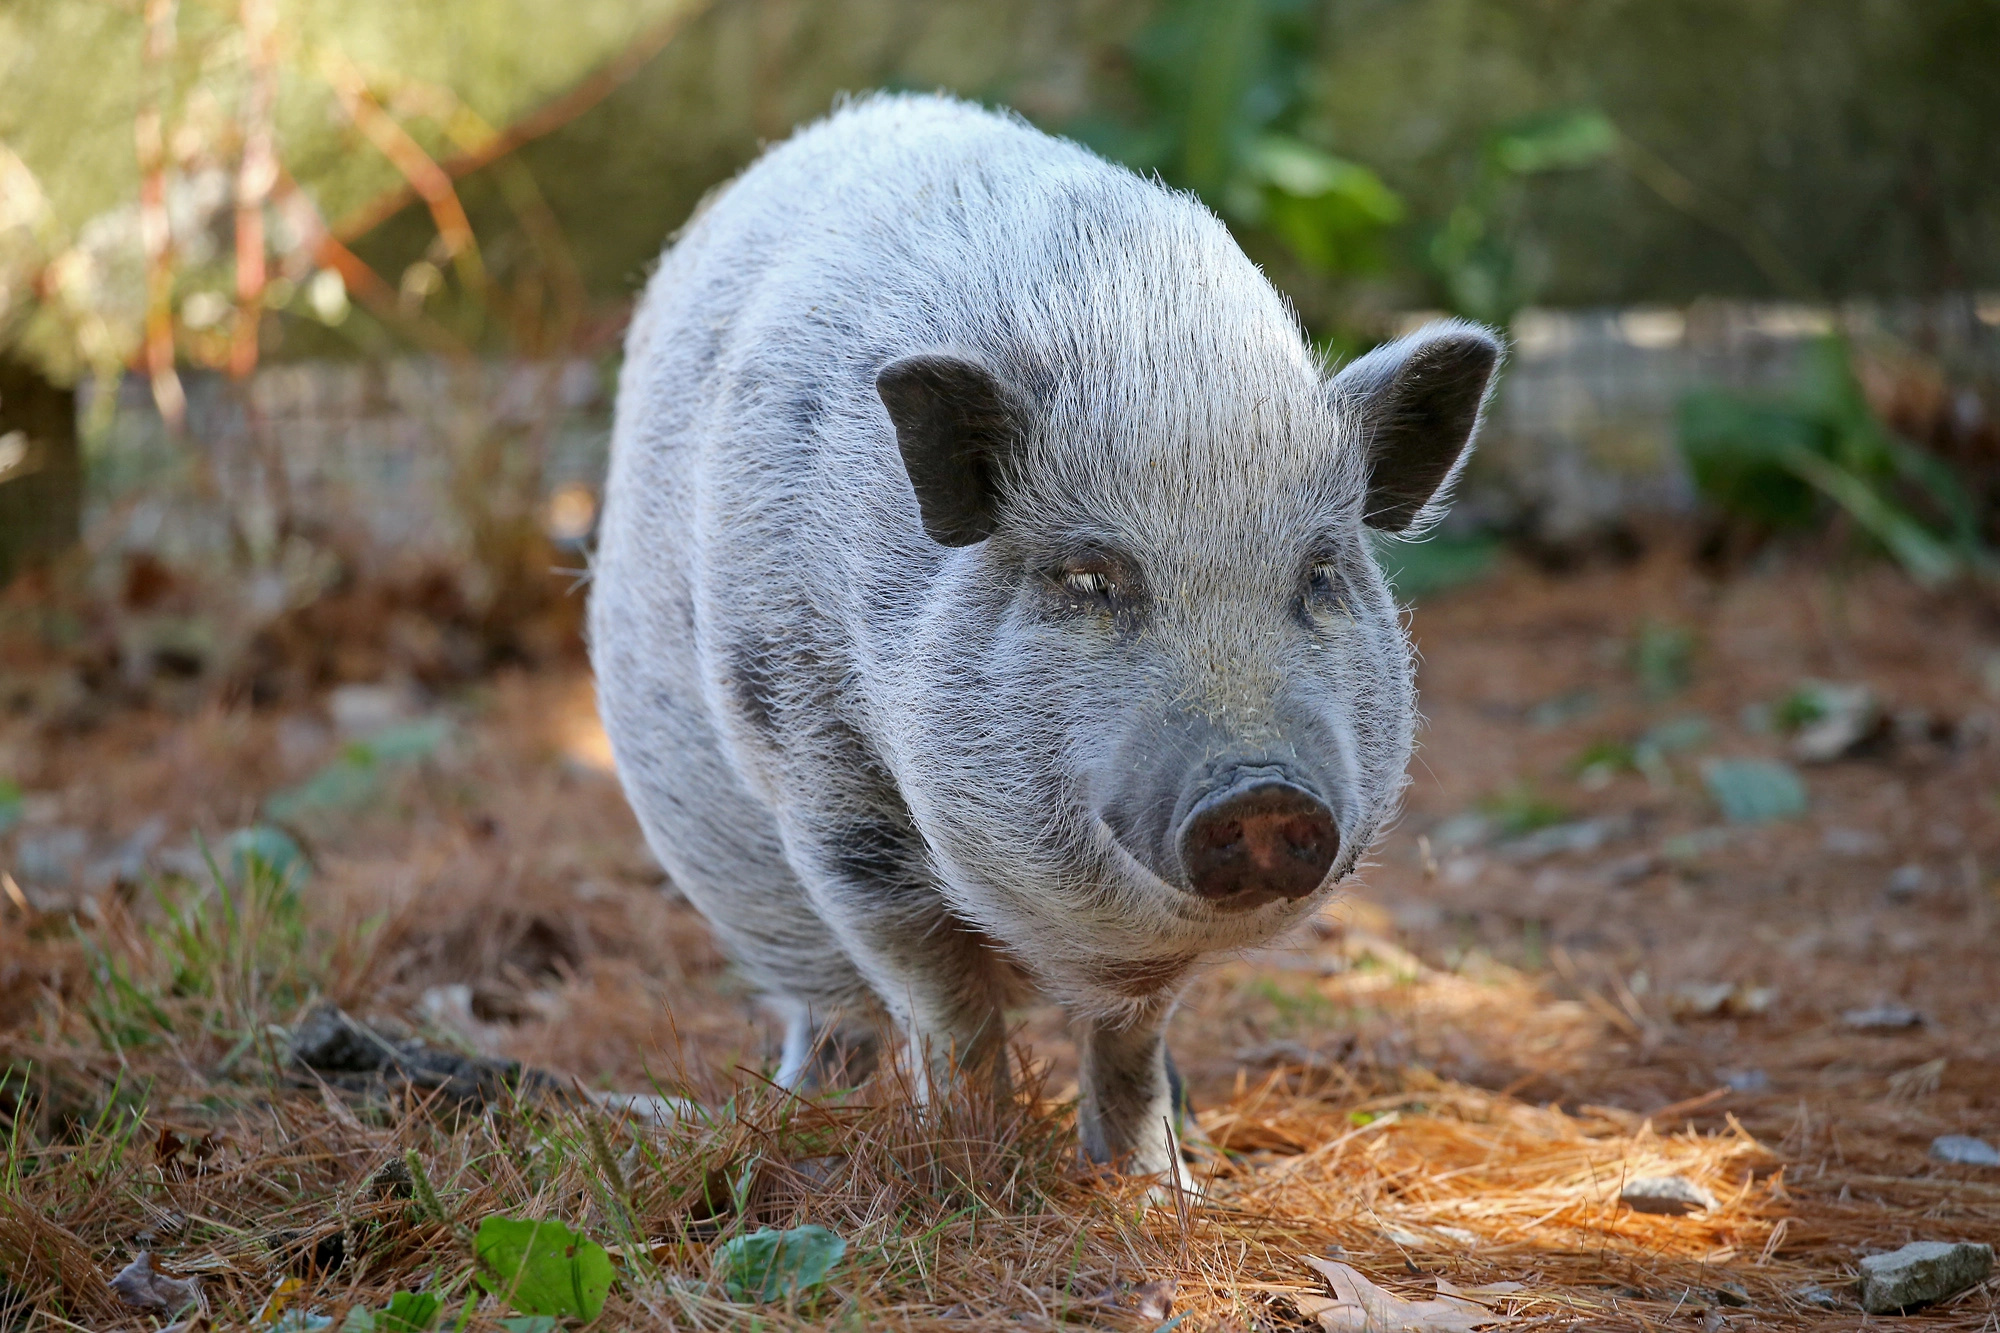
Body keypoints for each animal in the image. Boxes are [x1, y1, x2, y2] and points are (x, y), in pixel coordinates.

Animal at [592, 91, 1504, 1176]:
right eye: (1088, 578)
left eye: (1320, 573)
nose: (1261, 791)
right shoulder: (827, 782)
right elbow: (941, 1003)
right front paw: (970, 1162)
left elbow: (1129, 1037)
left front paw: (1152, 1183)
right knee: (827, 1007)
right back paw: (795, 1116)